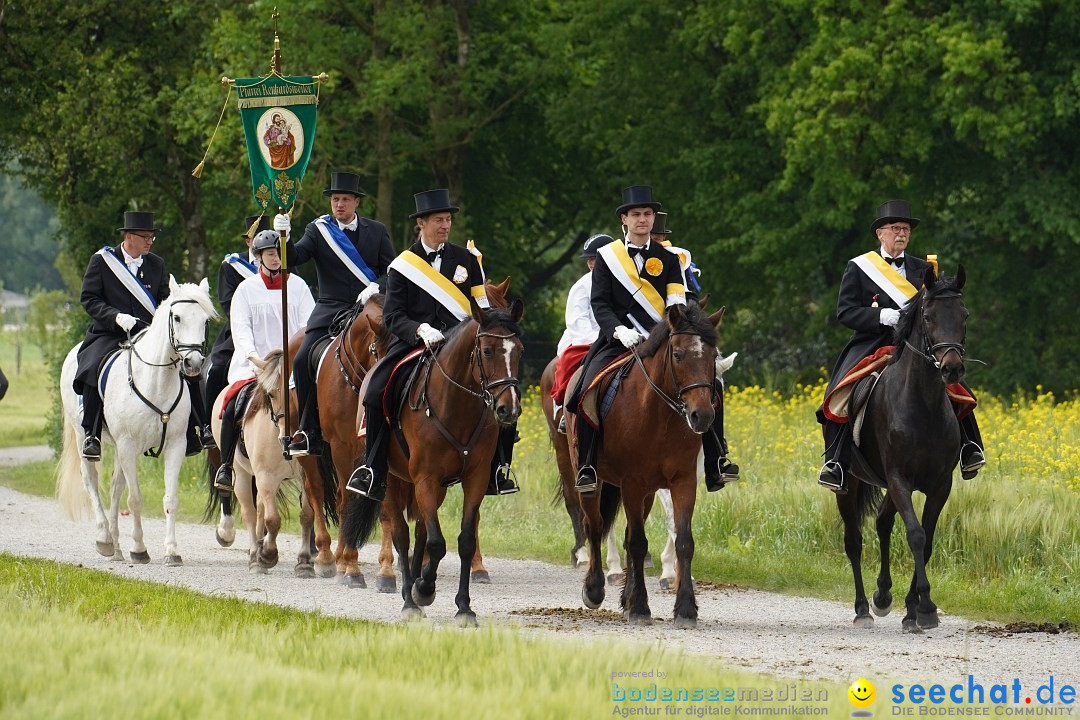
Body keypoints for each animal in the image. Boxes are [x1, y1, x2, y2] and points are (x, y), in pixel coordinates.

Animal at [57, 278, 217, 565]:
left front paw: (171, 551)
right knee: (91, 481)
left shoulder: (175, 445)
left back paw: (117, 547)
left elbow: (170, 499)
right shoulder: (128, 446)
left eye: (205, 320)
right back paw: (104, 539)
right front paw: (140, 549)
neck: (156, 381)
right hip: (84, 437)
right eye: (177, 317)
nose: (193, 363)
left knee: (115, 487)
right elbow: (135, 500)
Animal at [208, 349, 306, 574]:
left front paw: (306, 564)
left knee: (260, 508)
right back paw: (255, 557)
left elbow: (307, 514)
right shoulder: (265, 476)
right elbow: (272, 519)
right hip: (242, 474)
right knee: (250, 513)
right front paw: (268, 555)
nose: (287, 437)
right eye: (270, 394)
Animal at [336, 297, 522, 626]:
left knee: (421, 532)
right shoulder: (426, 478)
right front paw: (422, 590)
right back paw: (410, 599)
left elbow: (464, 541)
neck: (457, 406)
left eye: (520, 351)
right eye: (487, 350)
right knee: (402, 534)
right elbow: (435, 543)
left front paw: (463, 607)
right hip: (391, 479)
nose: (508, 409)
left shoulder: (473, 479)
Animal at [565, 302, 725, 626]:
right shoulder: (632, 483)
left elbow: (683, 540)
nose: (702, 416)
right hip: (592, 480)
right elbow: (637, 542)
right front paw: (640, 607)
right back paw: (595, 589)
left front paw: (685, 608)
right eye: (678, 355)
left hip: (649, 491)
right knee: (594, 525)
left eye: (712, 356)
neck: (661, 414)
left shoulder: (683, 480)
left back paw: (625, 597)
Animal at [833, 267, 972, 634]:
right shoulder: (899, 479)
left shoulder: (939, 485)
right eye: (928, 316)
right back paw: (863, 609)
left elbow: (928, 539)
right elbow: (916, 535)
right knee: (854, 541)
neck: (923, 405)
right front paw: (924, 605)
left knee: (882, 523)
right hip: (848, 485)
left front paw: (915, 609)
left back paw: (883, 597)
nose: (951, 368)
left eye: (964, 315)